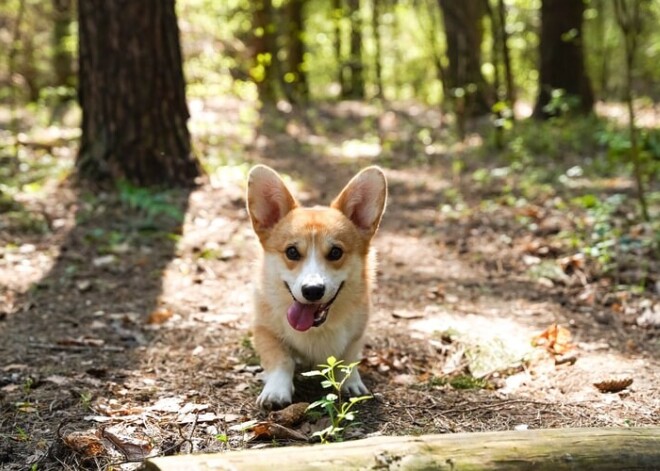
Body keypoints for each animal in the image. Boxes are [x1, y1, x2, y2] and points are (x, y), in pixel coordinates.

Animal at [248, 166, 386, 410]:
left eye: (336, 252)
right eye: (292, 252)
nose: (312, 290)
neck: (315, 329)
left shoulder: (357, 334)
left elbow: (349, 359)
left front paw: (351, 382)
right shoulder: (264, 330)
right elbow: (282, 359)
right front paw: (276, 391)